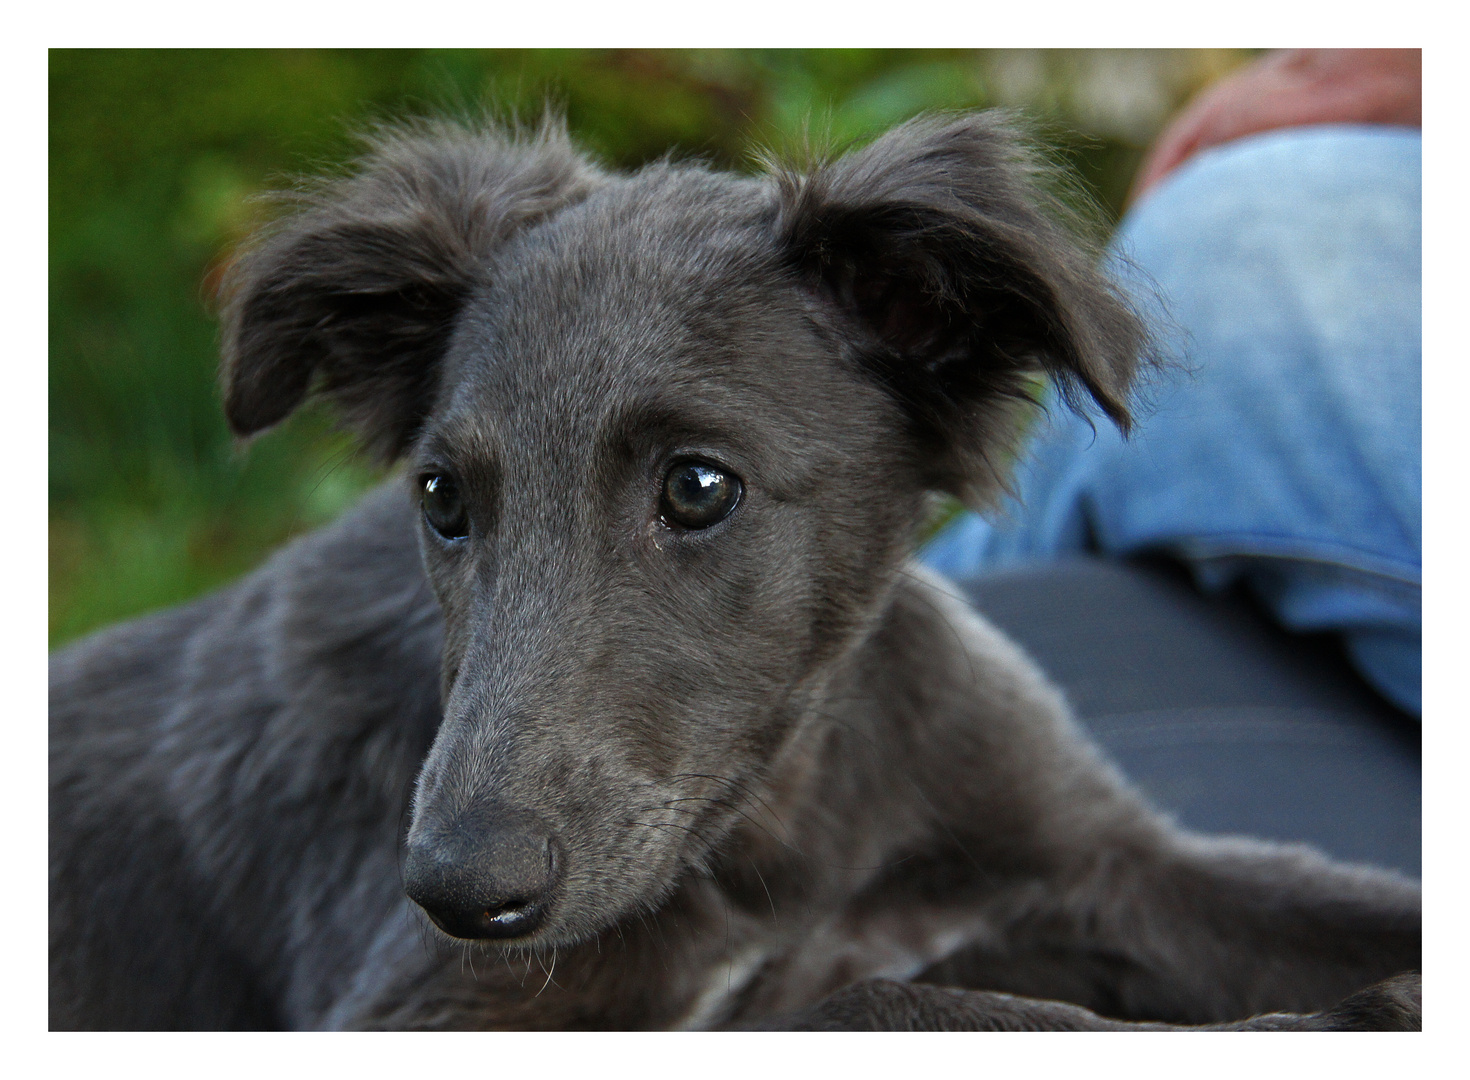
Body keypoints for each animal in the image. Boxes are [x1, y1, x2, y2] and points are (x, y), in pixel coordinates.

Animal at [48, 113, 1422, 1034]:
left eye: (700, 487)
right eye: (441, 499)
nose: (458, 892)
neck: (788, 820)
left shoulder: (1111, 865)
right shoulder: (435, 1008)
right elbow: (877, 1003)